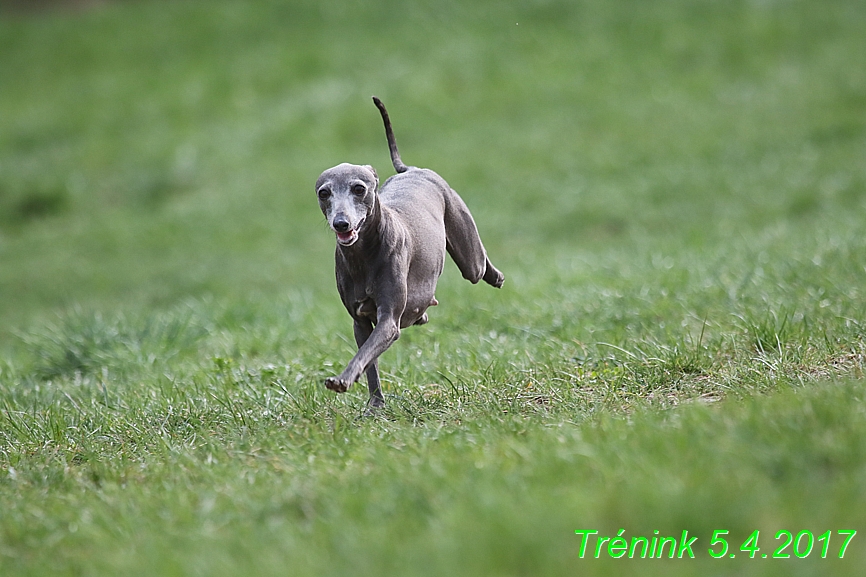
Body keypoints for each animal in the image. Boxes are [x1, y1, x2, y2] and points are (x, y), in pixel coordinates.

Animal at [314, 97, 502, 408]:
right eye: (324, 193)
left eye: (359, 188)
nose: (341, 223)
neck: (363, 256)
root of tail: (412, 170)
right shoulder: (360, 321)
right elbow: (370, 361)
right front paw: (375, 405)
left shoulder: (388, 320)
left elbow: (366, 353)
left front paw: (342, 380)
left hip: (468, 254)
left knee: (479, 266)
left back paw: (496, 276)